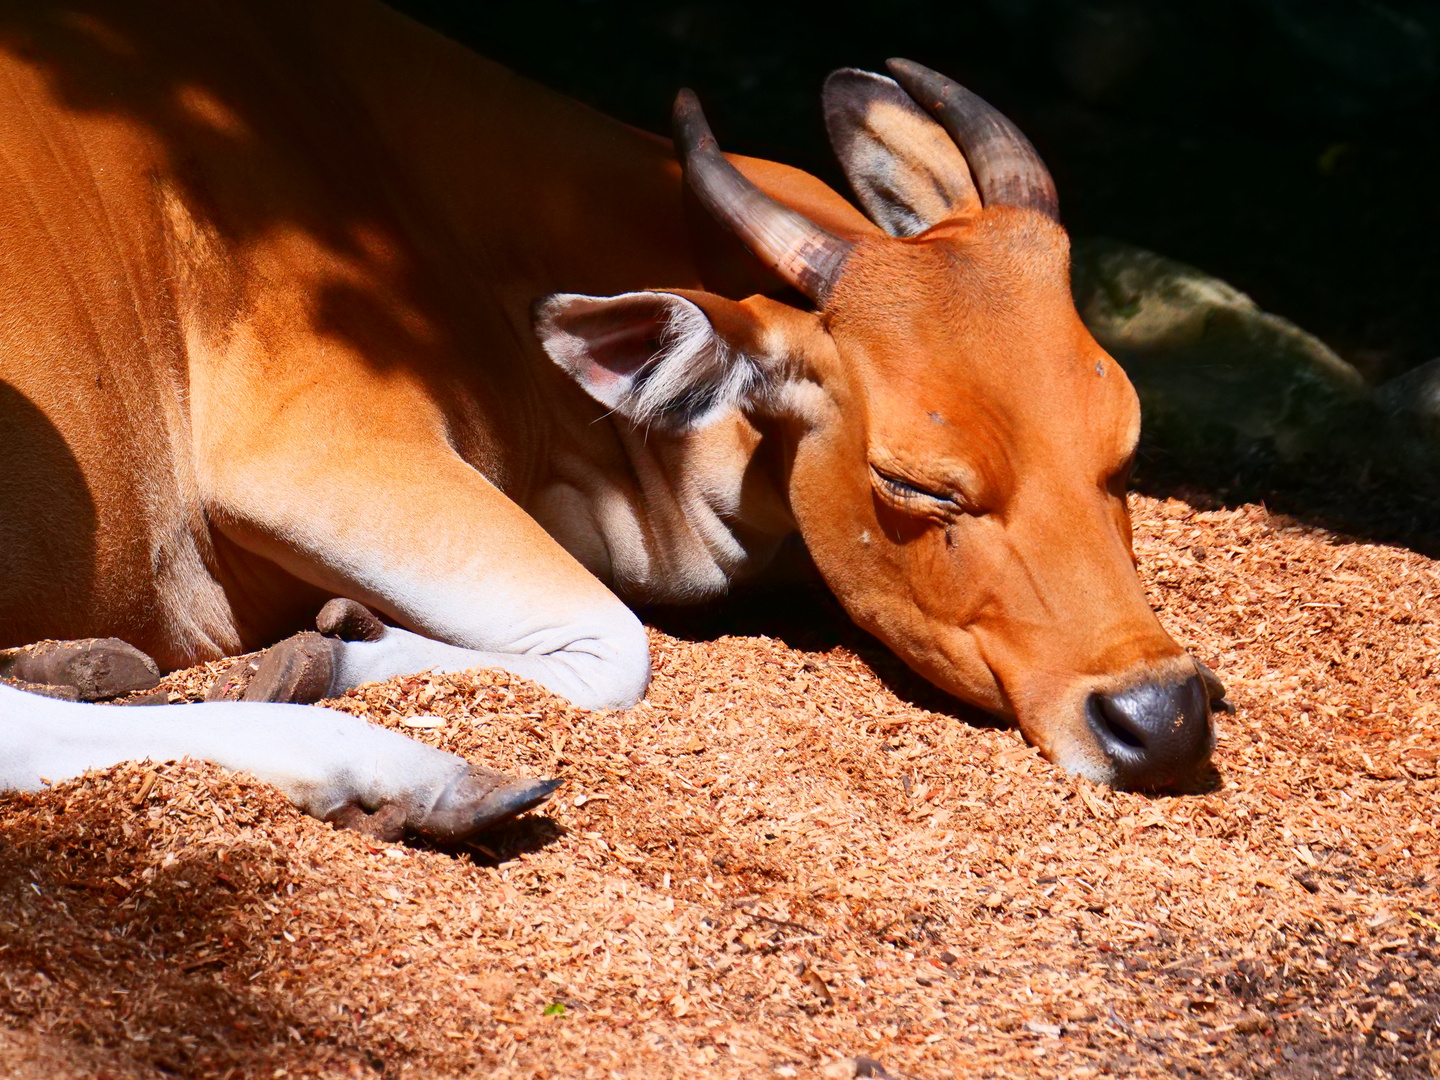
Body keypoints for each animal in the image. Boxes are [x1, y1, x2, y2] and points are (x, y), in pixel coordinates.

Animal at [0, 0, 1221, 846]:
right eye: (917, 483)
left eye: (1126, 444)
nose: (1161, 718)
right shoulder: (309, 452)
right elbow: (615, 648)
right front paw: (321, 650)